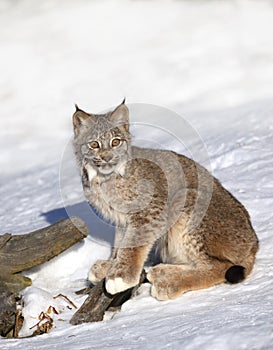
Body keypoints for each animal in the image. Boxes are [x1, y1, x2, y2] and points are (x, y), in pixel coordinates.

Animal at [73, 101, 258, 300]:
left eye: (116, 141)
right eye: (94, 144)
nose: (107, 157)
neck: (102, 179)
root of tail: (254, 242)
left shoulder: (151, 209)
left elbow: (133, 243)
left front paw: (120, 276)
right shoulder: (121, 218)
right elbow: (121, 244)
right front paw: (109, 267)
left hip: (186, 198)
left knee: (219, 266)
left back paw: (170, 284)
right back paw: (161, 271)